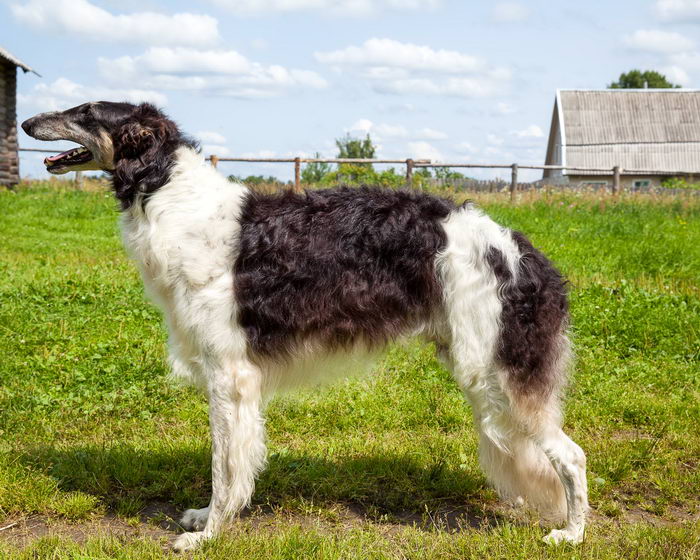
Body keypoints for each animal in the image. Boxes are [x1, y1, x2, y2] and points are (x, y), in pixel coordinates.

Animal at [21, 101, 588, 552]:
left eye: (86, 111)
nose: (25, 121)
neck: (175, 200)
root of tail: (518, 248)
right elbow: (233, 467)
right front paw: (206, 520)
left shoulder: (229, 376)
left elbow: (224, 469)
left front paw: (207, 535)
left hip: (494, 374)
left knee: (573, 456)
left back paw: (572, 533)